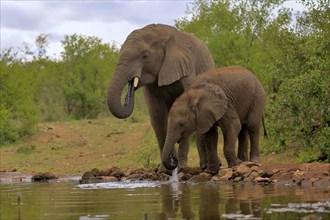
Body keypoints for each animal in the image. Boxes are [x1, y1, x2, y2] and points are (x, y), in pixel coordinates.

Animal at [105, 24, 214, 172]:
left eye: (145, 56)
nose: (131, 84)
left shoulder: (186, 69)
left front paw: (179, 167)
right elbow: (157, 116)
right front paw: (164, 171)